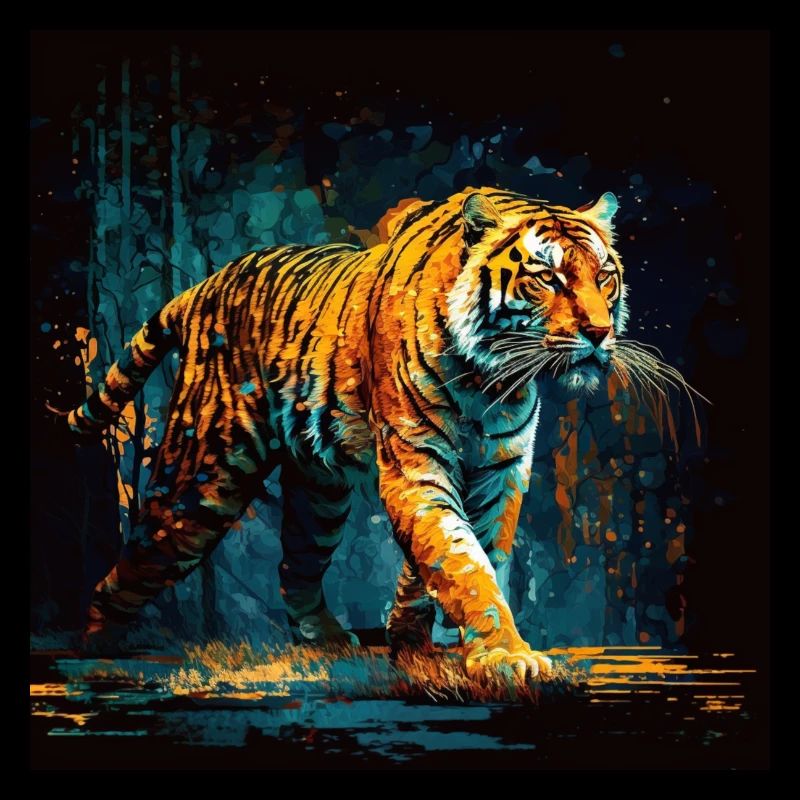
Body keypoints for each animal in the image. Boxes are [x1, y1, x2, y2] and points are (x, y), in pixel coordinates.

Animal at [66, 186, 630, 681]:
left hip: (318, 497)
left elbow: (472, 552)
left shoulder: (500, 472)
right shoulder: (415, 463)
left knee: (295, 565)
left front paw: (415, 635)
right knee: (139, 555)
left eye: (604, 276)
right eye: (548, 278)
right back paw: (95, 640)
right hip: (202, 482)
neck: (492, 380)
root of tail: (207, 284)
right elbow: (462, 561)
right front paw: (505, 656)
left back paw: (327, 637)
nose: (600, 333)